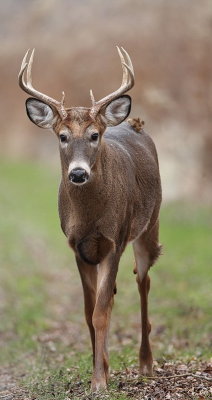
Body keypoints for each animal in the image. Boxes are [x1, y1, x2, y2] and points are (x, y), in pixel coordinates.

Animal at [19, 48, 161, 392]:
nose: (78, 173)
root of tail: (131, 123)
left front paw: (99, 382)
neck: (91, 218)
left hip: (149, 225)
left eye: (94, 135)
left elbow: (100, 313)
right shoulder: (78, 246)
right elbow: (89, 311)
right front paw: (102, 372)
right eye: (62, 136)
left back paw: (146, 363)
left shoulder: (114, 242)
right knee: (112, 297)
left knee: (143, 282)